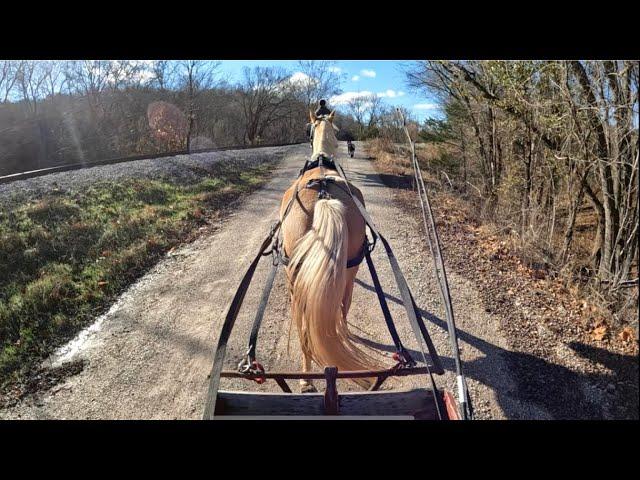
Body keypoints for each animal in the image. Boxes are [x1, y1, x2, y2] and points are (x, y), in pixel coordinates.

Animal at [278, 112, 378, 394]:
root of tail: (324, 195)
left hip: (296, 276)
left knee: (307, 325)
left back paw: (306, 378)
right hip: (349, 269)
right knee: (341, 308)